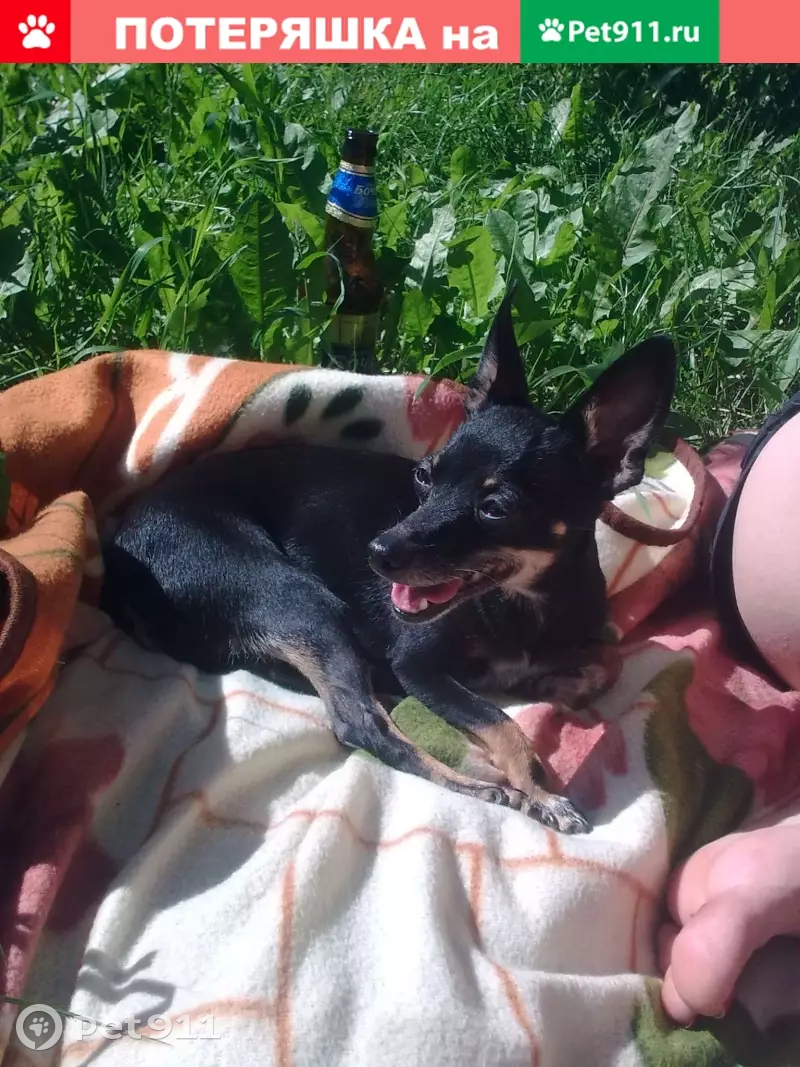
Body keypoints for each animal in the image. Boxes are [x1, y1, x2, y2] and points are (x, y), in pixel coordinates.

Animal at [101, 295, 676, 833]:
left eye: (496, 508)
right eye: (424, 477)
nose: (377, 552)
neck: (521, 605)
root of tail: (119, 559)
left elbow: (602, 665)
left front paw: (550, 685)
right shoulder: (418, 664)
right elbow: (502, 722)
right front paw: (540, 789)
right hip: (295, 598)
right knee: (360, 725)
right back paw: (474, 781)